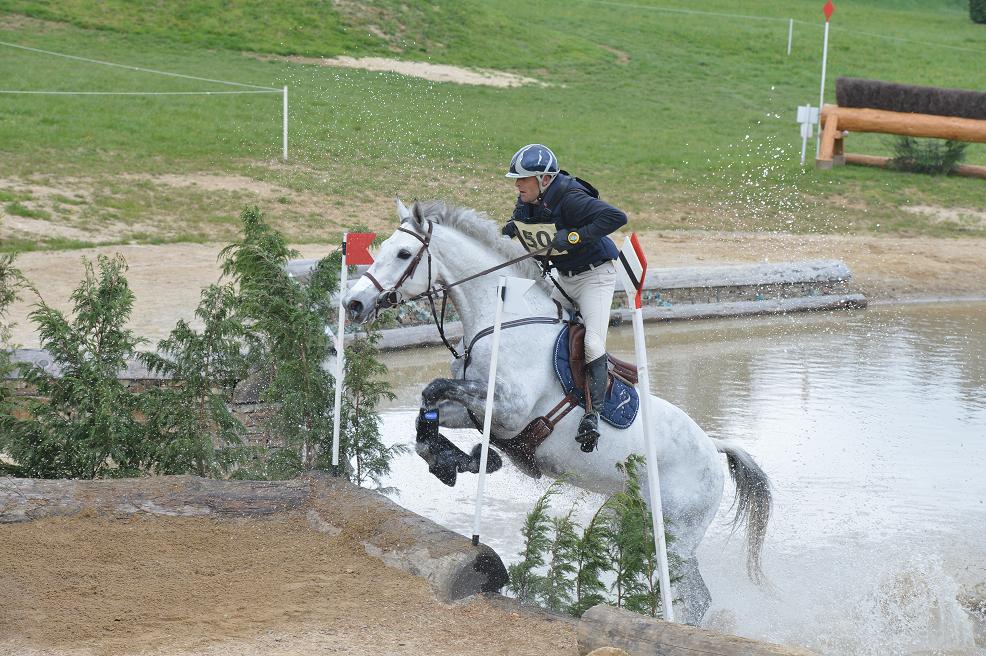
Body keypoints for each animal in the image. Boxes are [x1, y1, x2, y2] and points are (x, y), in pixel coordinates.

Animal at [342, 200, 772, 624]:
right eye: (380, 249)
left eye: (402, 254)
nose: (353, 304)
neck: (502, 319)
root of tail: (713, 448)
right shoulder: (478, 411)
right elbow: (426, 407)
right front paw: (453, 461)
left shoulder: (509, 409)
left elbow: (433, 389)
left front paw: (464, 459)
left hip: (677, 531)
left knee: (696, 598)